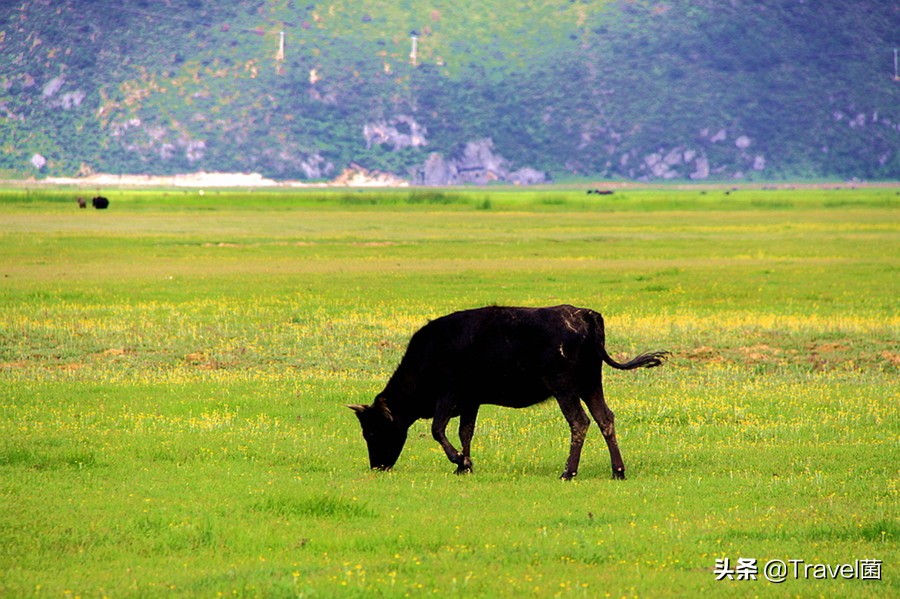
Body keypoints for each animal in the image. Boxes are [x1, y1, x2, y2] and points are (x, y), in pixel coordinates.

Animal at [352, 308, 668, 480]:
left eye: (372, 431)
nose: (377, 466)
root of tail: (583, 314)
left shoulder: (449, 396)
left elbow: (438, 429)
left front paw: (458, 461)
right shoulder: (471, 401)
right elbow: (466, 431)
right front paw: (465, 466)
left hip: (564, 387)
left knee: (579, 422)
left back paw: (568, 472)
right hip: (590, 384)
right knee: (605, 419)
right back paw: (618, 471)